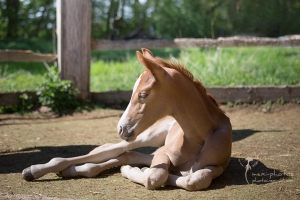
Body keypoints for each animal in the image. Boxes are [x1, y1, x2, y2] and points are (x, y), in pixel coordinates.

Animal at [22, 48, 232, 191]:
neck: (198, 137)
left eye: (143, 95)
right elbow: (156, 176)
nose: (121, 128)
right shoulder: (163, 153)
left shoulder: (219, 166)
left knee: (126, 155)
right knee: (109, 151)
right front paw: (138, 172)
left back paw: (73, 171)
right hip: (146, 136)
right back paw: (35, 170)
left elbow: (196, 179)